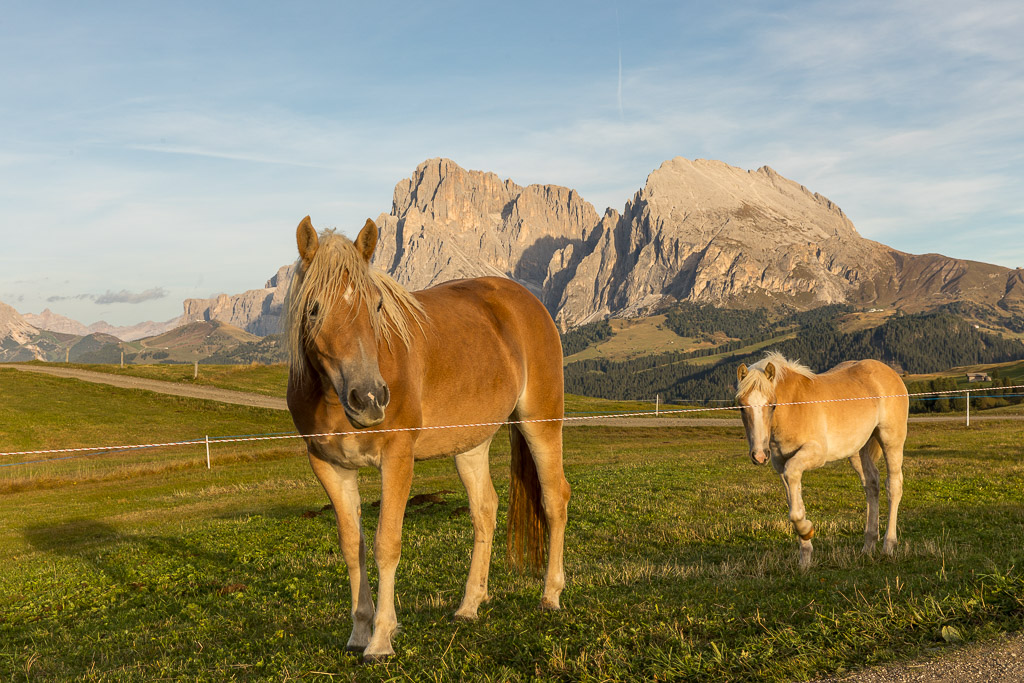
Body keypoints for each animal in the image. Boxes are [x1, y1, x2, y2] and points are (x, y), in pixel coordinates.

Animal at [284, 216, 573, 659]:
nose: (369, 398)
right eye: (314, 308)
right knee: (485, 510)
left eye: (377, 306)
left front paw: (381, 639)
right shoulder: (329, 466)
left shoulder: (397, 460)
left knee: (555, 498)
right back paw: (469, 605)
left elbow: (387, 544)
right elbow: (353, 548)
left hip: (540, 422)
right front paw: (359, 631)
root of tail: (529, 303)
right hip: (470, 444)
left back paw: (551, 595)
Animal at [737, 356, 905, 569]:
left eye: (773, 405)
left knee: (893, 485)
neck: (795, 406)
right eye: (742, 407)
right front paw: (805, 557)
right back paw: (868, 546)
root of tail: (891, 373)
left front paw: (806, 529)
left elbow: (794, 488)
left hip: (891, 439)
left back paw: (888, 546)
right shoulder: (781, 463)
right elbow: (795, 500)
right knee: (871, 483)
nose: (759, 455)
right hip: (858, 449)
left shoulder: (814, 454)